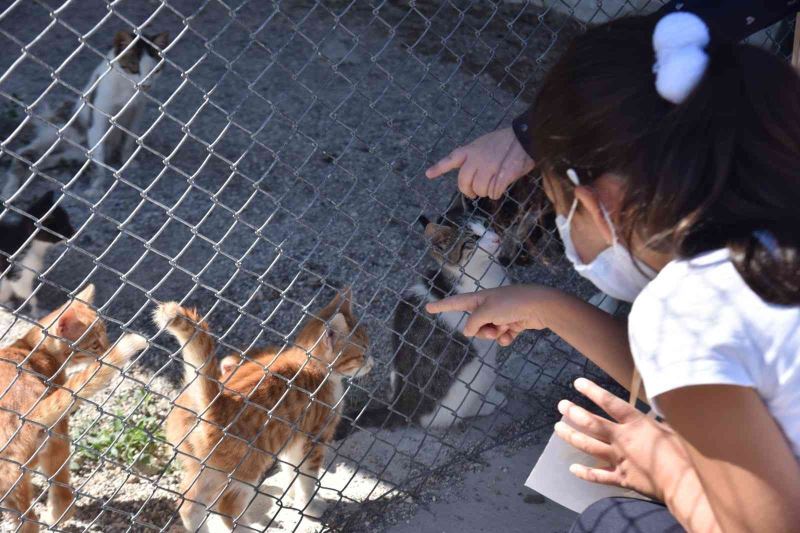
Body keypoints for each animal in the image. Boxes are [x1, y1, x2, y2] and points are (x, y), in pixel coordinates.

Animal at [0, 286, 147, 532]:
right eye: (95, 344)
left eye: (106, 336)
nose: (106, 350)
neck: (32, 348)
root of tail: (27, 413)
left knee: (36, 513)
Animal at [155, 288, 374, 528]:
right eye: (363, 353)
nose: (372, 363)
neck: (312, 365)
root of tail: (213, 400)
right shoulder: (314, 439)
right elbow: (307, 479)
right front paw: (310, 507)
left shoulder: (291, 439)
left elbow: (291, 470)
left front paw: (292, 496)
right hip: (246, 468)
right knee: (226, 507)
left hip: (206, 468)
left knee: (189, 504)